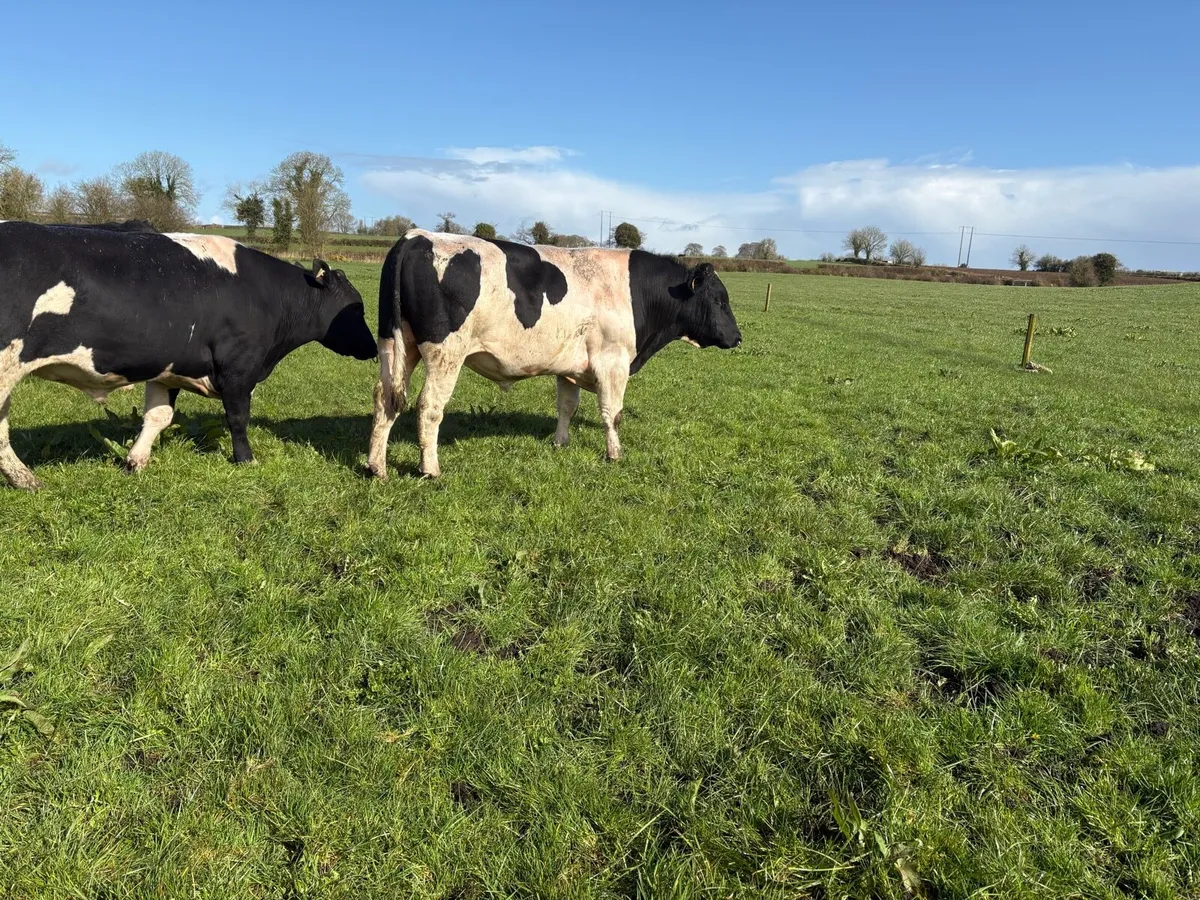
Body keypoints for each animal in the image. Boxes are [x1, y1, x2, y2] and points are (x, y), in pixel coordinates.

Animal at [0, 221, 376, 490]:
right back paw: (26, 479)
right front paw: (246, 460)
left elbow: (158, 416)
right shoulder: (239, 369)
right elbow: (238, 417)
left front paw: (135, 461)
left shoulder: (168, 367)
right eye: (356, 310)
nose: (373, 348)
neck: (267, 297)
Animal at [367, 229, 742, 478]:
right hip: (445, 353)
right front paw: (614, 454)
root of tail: (416, 236)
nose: (738, 338)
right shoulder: (613, 361)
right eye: (720, 300)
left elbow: (567, 406)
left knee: (385, 399)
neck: (637, 291)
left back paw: (376, 466)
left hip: (395, 345)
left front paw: (560, 442)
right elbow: (613, 413)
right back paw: (430, 469)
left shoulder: (571, 365)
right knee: (429, 407)